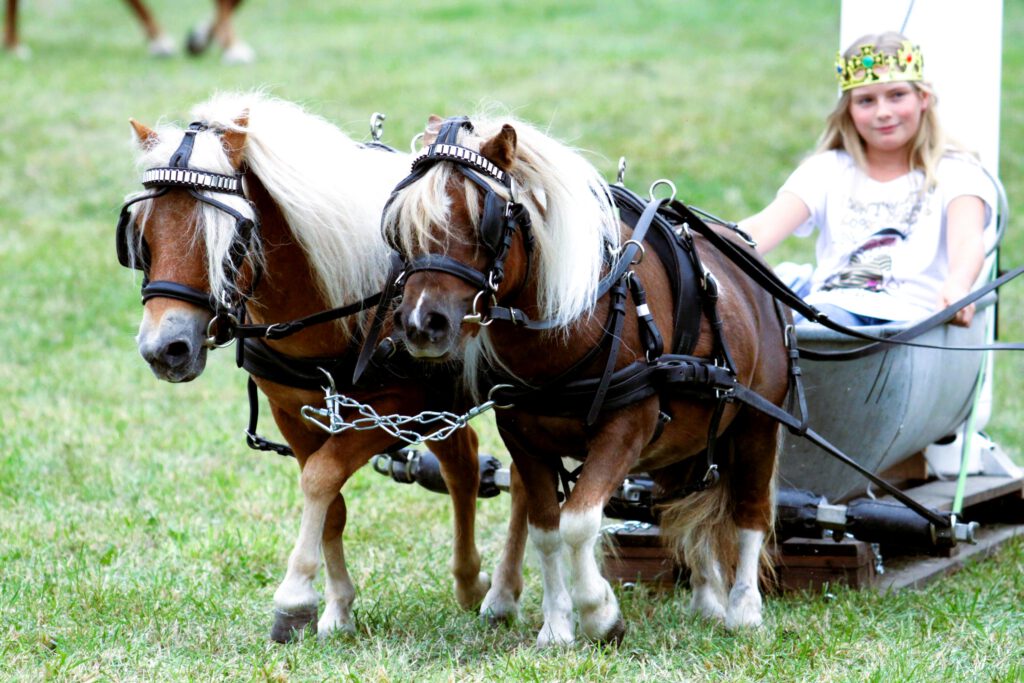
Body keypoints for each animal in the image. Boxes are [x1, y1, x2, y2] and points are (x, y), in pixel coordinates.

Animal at [119, 93, 528, 643]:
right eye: (141, 235)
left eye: (230, 238)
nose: (164, 348)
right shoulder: (293, 412)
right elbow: (331, 502)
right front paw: (337, 608)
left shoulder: (392, 409)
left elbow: (321, 477)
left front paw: (294, 598)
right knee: (464, 466)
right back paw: (469, 581)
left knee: (523, 482)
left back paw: (500, 590)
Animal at [385, 114, 790, 643]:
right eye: (399, 225)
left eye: (484, 221)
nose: (420, 323)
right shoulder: (522, 436)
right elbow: (546, 529)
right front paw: (557, 627)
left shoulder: (626, 428)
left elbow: (577, 522)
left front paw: (600, 613)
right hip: (684, 443)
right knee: (685, 510)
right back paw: (706, 599)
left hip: (757, 423)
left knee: (751, 513)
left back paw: (743, 610)